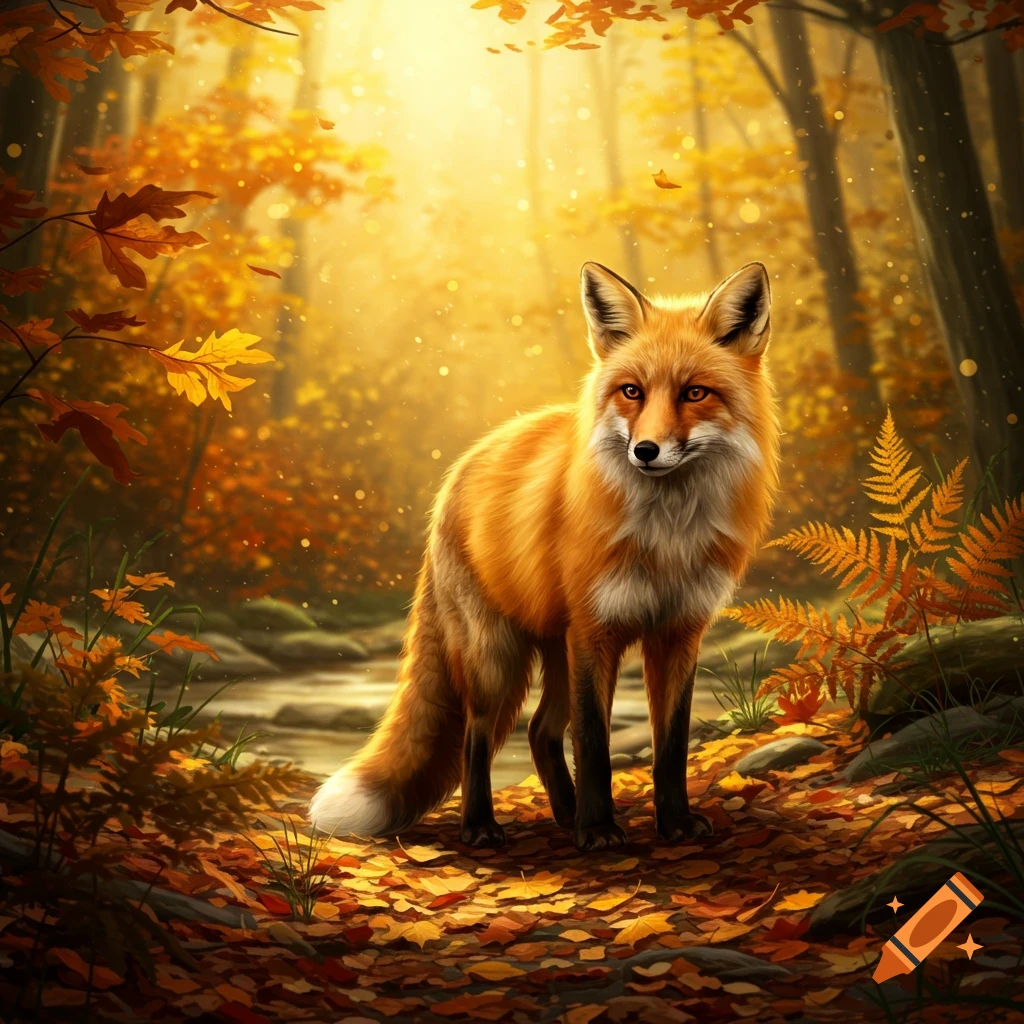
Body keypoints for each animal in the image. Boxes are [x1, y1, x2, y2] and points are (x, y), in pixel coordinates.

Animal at [310, 260, 780, 851]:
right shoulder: (595, 632)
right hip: (497, 657)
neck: (666, 538)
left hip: (555, 648)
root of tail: (462, 466)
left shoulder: (677, 631)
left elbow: (670, 745)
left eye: (696, 393)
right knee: (477, 736)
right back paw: (482, 825)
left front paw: (672, 823)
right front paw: (598, 831)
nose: (645, 451)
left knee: (538, 730)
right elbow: (595, 744)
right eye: (632, 391)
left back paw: (564, 813)